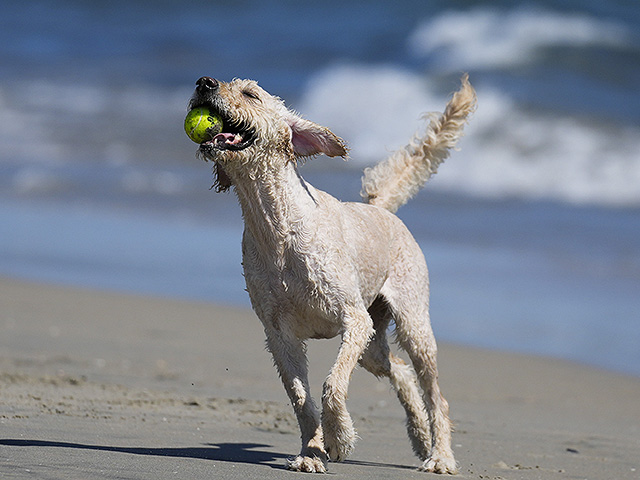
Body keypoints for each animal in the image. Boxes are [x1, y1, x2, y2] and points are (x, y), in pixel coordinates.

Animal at [185, 75, 476, 472]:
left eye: (250, 94)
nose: (204, 82)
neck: (276, 226)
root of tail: (382, 210)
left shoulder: (353, 320)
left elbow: (332, 386)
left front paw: (339, 439)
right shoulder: (279, 335)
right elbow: (301, 400)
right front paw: (311, 453)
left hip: (410, 322)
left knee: (435, 394)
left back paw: (440, 456)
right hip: (373, 343)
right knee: (400, 370)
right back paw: (418, 436)